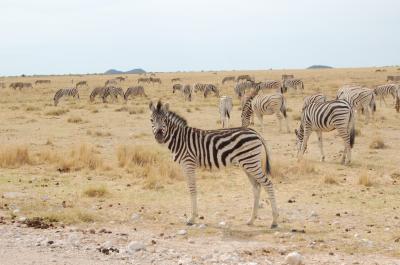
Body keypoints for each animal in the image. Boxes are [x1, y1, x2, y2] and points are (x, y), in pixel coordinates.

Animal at [149, 100, 278, 228]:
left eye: (164, 120)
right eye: (151, 120)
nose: (159, 136)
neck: (180, 139)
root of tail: (255, 132)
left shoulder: (189, 163)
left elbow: (192, 189)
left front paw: (192, 218)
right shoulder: (185, 166)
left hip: (251, 163)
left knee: (268, 184)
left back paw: (274, 221)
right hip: (247, 164)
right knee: (256, 187)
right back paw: (251, 220)